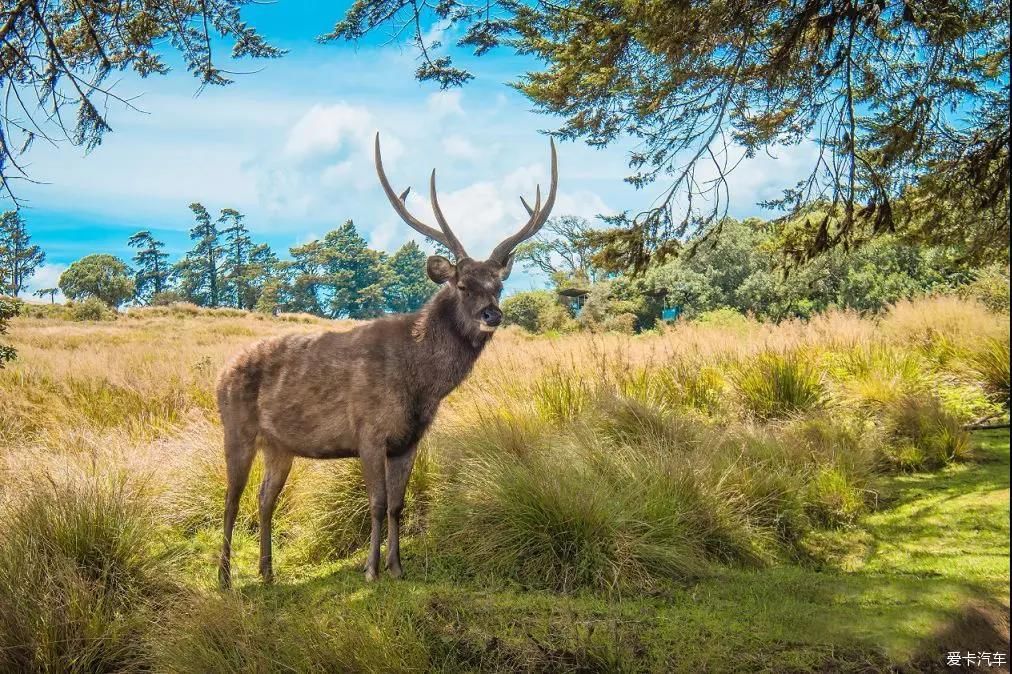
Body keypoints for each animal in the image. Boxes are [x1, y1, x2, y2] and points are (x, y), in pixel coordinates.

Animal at [216, 133, 558, 586]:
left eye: (498, 285)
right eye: (463, 285)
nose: (492, 314)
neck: (420, 386)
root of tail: (220, 373)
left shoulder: (409, 440)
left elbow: (398, 503)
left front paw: (397, 566)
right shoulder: (368, 431)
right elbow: (376, 503)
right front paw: (371, 570)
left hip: (279, 445)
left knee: (264, 498)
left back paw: (268, 573)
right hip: (235, 428)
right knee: (231, 499)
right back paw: (225, 578)